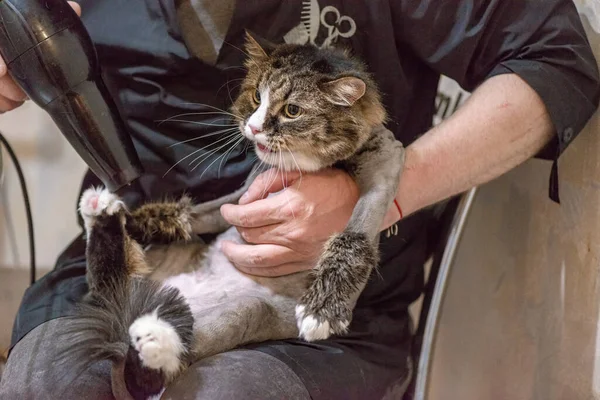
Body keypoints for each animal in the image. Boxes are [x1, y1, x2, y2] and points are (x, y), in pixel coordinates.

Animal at [56, 33, 406, 400]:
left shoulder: (382, 175)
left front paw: (323, 310)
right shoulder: (241, 198)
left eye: (292, 110)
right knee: (107, 287)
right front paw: (138, 219)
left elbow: (354, 239)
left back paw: (156, 338)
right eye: (256, 97)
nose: (252, 127)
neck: (300, 168)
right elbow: (194, 213)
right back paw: (102, 213)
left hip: (249, 312)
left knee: (155, 364)